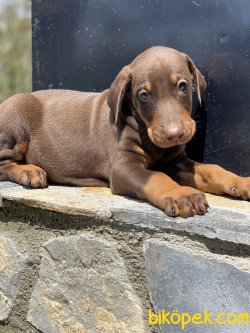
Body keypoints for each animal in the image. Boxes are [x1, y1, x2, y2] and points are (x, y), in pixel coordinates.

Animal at [0, 47, 250, 218]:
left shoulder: (177, 162)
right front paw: (182, 194)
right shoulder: (124, 167)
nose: (174, 134)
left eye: (183, 85)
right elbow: (157, 177)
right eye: (143, 95)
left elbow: (212, 169)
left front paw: (242, 182)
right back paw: (29, 171)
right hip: (16, 118)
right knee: (4, 163)